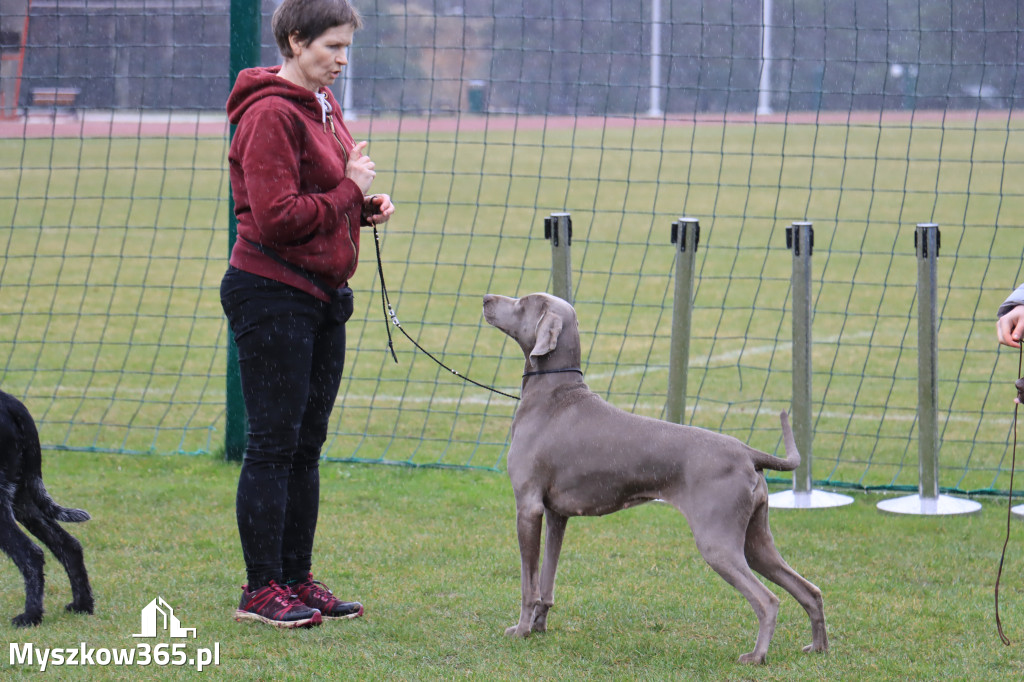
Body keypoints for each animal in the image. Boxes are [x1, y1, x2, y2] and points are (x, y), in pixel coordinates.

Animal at [0, 391, 93, 622]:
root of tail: (10, 401)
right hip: (23, 497)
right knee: (69, 546)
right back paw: (83, 605)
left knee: (31, 555)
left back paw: (31, 616)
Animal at [483, 288, 827, 659]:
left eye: (523, 302)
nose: (486, 297)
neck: (553, 396)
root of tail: (747, 452)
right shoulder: (557, 514)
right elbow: (546, 579)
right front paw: (539, 626)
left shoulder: (528, 507)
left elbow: (527, 583)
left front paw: (521, 630)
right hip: (754, 541)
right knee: (810, 590)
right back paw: (818, 646)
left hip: (717, 542)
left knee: (768, 599)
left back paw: (756, 656)